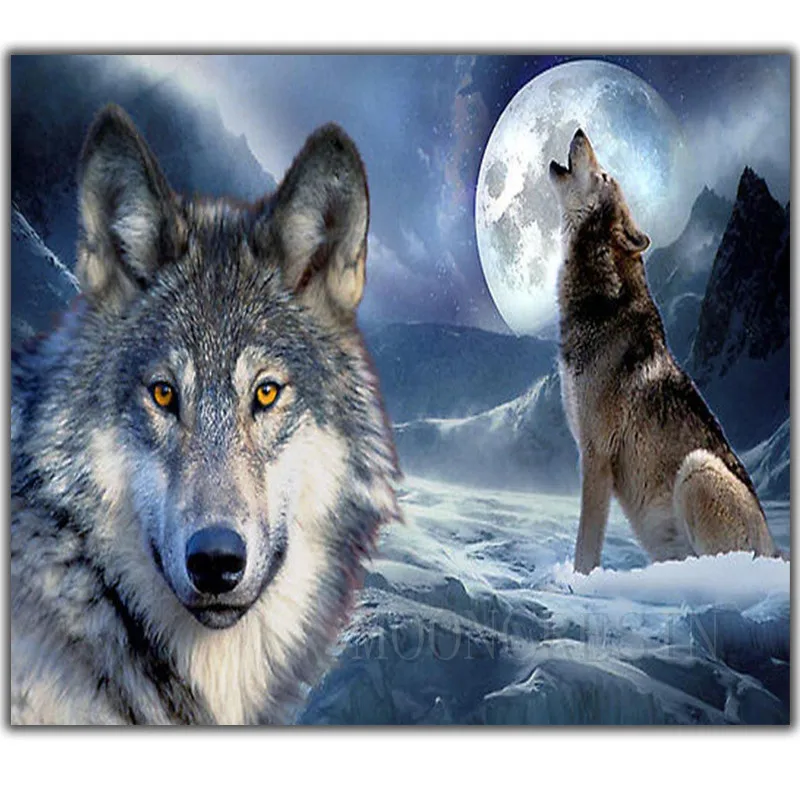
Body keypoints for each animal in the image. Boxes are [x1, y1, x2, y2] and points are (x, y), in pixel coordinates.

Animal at [549, 129, 777, 575]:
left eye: (604, 175)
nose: (580, 130)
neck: (600, 305)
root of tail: (779, 552)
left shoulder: (596, 455)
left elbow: (586, 546)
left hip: (697, 467)